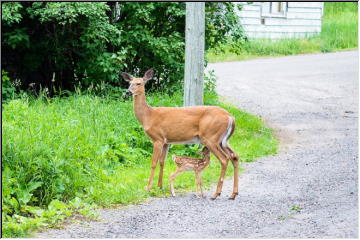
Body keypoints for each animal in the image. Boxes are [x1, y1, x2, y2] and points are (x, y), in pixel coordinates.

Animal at [121, 69, 239, 199]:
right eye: (129, 83)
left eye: (139, 83)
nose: (128, 92)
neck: (148, 116)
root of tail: (230, 117)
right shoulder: (166, 141)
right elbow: (162, 162)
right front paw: (159, 186)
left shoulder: (157, 139)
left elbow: (153, 163)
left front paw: (148, 188)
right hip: (223, 140)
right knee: (234, 156)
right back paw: (233, 194)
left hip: (210, 137)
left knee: (224, 159)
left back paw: (216, 193)